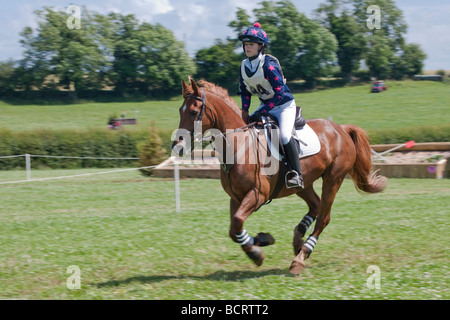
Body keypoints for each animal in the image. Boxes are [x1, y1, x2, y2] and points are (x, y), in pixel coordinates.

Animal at [172, 78, 386, 276]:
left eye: (193, 112)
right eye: (180, 111)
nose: (177, 146)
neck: (239, 145)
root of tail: (341, 128)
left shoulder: (257, 194)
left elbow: (238, 222)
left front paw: (256, 252)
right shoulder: (236, 197)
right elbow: (234, 229)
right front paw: (262, 241)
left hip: (333, 179)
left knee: (323, 218)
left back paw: (300, 257)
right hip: (302, 183)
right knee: (315, 205)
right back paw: (298, 240)